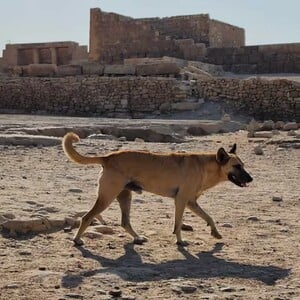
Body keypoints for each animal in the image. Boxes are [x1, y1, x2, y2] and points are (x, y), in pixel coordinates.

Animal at [62, 133, 252, 246]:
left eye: (243, 165)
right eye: (236, 166)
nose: (251, 179)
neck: (206, 166)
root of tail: (108, 157)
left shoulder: (191, 202)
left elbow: (209, 217)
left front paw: (215, 233)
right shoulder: (181, 201)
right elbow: (178, 224)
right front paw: (180, 241)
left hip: (125, 197)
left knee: (125, 222)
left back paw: (137, 237)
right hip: (107, 197)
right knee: (87, 217)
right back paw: (77, 239)